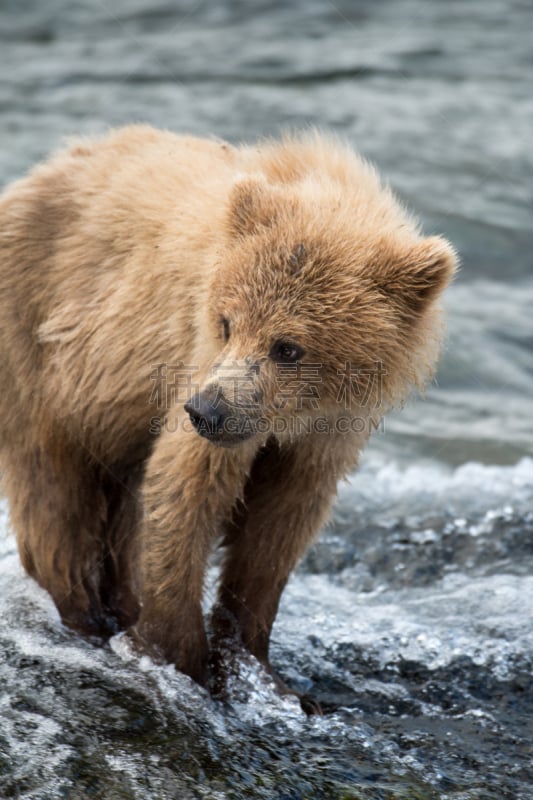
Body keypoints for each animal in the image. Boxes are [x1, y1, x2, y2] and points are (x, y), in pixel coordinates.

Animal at [0, 126, 456, 712]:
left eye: (288, 347)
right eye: (226, 322)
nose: (208, 410)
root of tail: (34, 175)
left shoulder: (326, 434)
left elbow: (277, 528)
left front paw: (261, 670)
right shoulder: (195, 367)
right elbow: (186, 488)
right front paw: (180, 660)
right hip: (38, 347)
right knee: (54, 494)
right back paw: (82, 615)